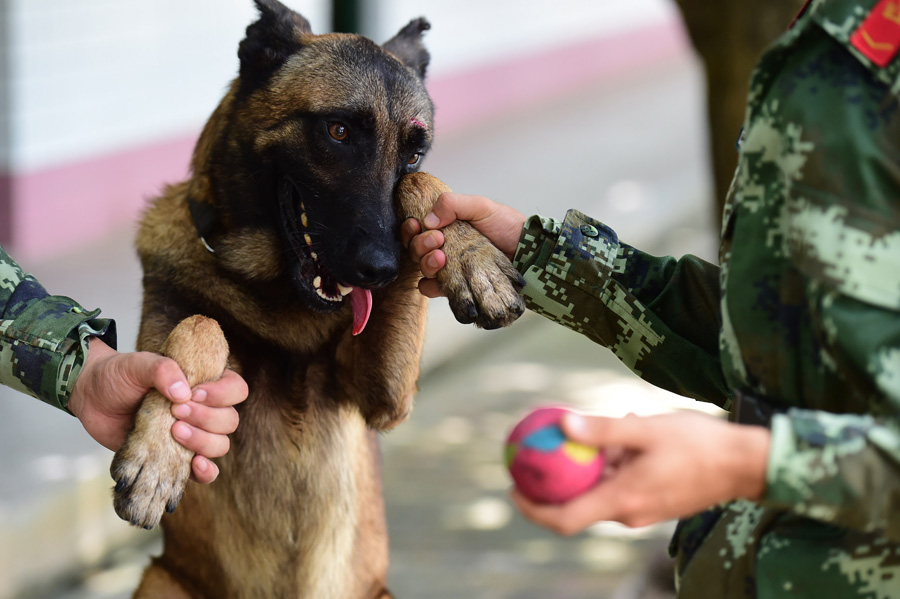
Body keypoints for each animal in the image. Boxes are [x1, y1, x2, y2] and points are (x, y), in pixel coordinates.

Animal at [109, 1, 524, 599]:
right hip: (160, 581)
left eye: (415, 151)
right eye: (338, 130)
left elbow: (422, 188)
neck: (278, 290)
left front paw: (471, 253)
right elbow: (200, 324)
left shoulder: (380, 396)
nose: (382, 269)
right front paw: (158, 456)